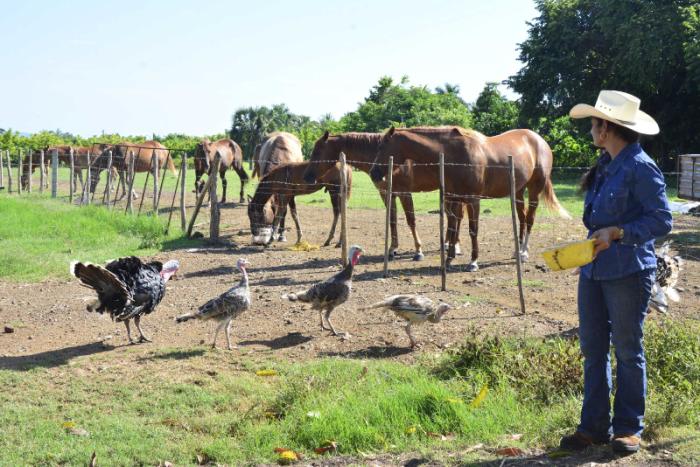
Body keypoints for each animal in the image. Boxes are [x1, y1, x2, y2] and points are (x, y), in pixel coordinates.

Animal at [304, 132, 446, 262]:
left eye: (317, 151)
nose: (307, 176)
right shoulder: (386, 193)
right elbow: (392, 220)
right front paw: (392, 249)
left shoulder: (404, 193)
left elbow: (411, 220)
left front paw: (418, 251)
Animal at [370, 126, 572, 272]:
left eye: (382, 146)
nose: (374, 173)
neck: (455, 155)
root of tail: (540, 141)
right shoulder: (454, 198)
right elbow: (453, 227)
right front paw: (449, 259)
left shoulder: (473, 200)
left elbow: (472, 230)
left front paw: (473, 262)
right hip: (518, 191)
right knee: (522, 218)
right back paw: (518, 250)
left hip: (535, 189)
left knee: (529, 219)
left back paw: (523, 253)